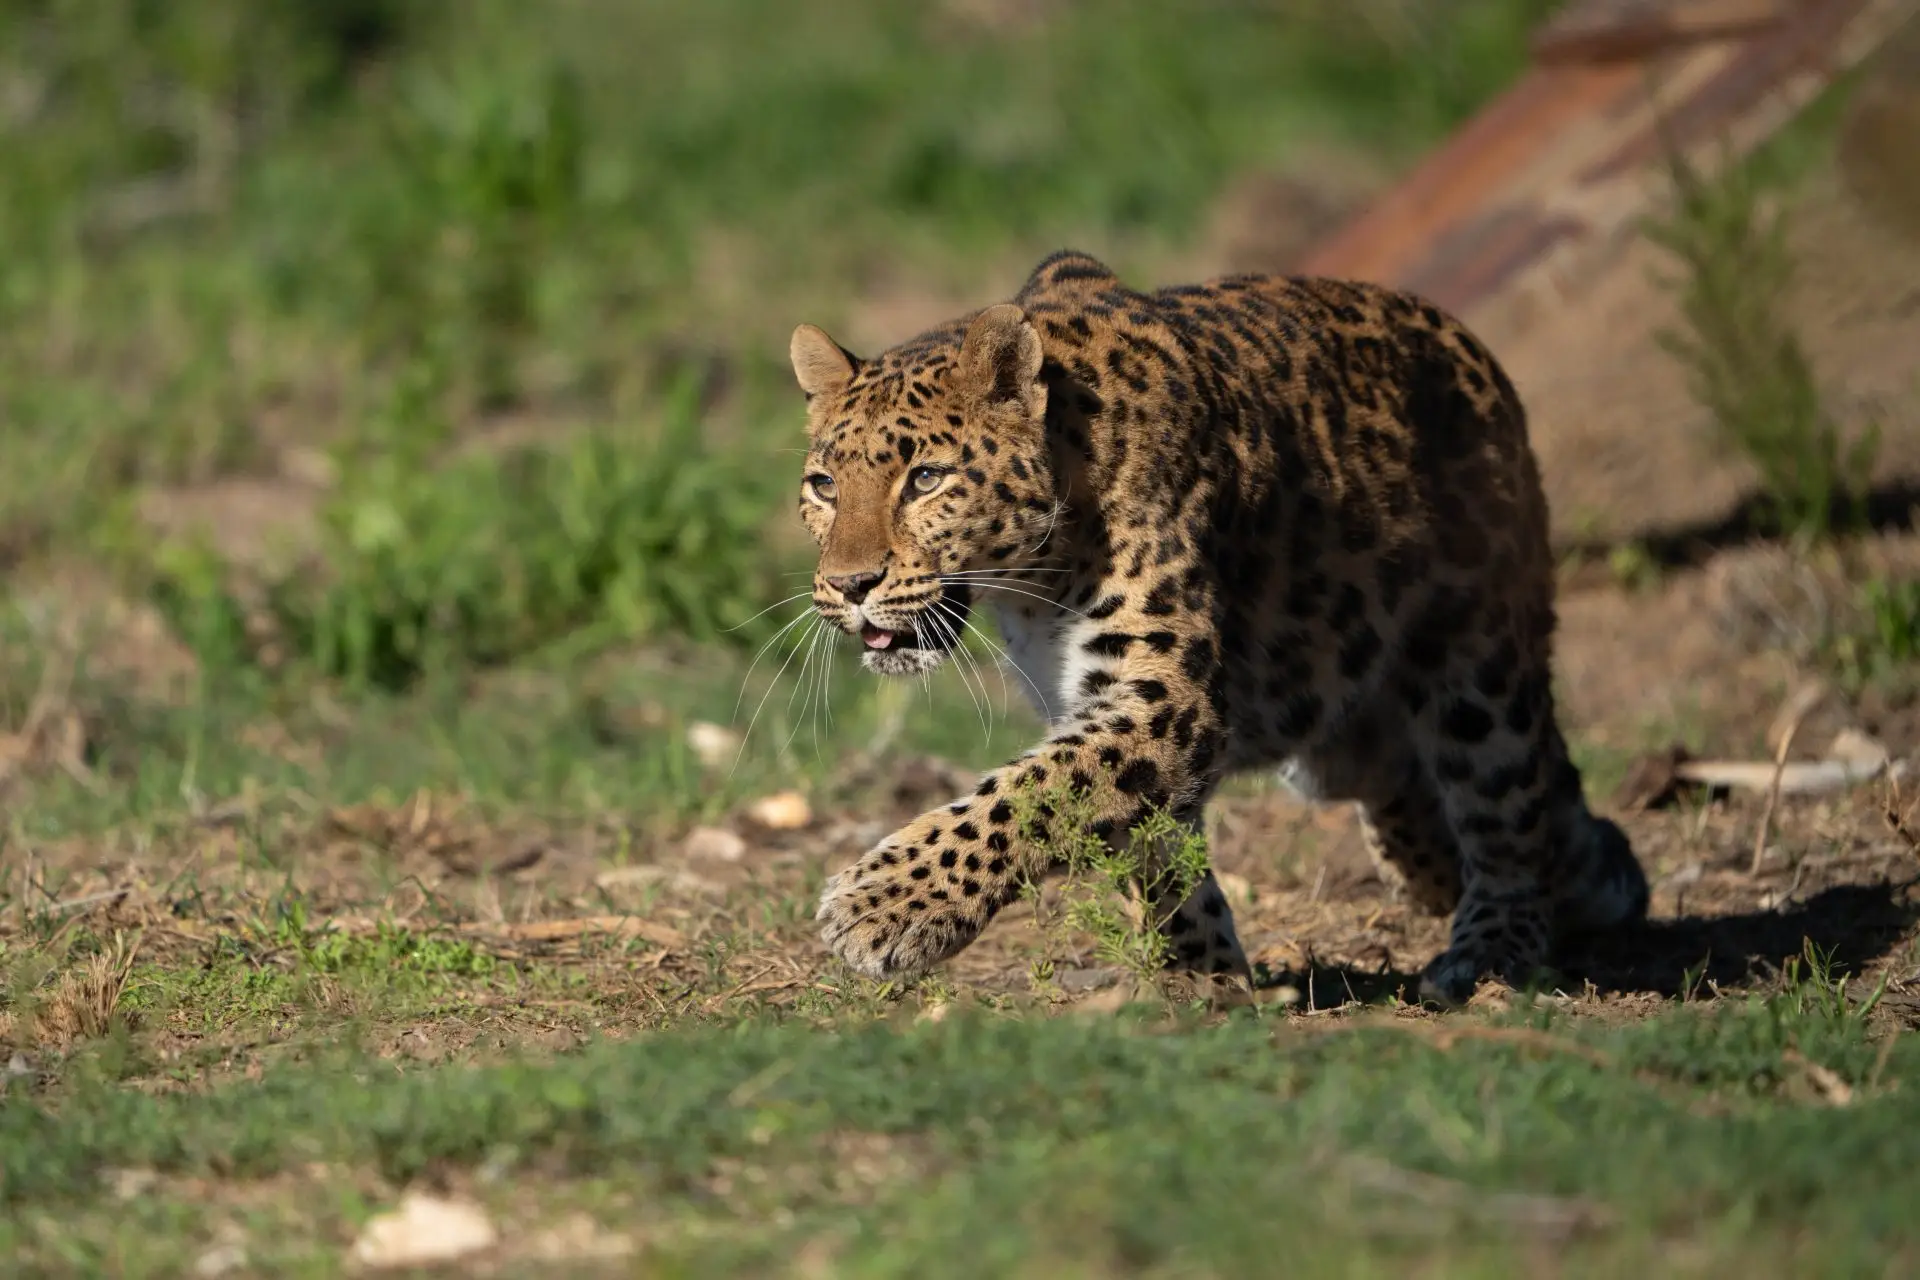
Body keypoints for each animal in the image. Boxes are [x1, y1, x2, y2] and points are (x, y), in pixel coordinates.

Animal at [787, 249, 1648, 1006]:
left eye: (926, 479)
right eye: (824, 487)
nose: (849, 585)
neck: (1034, 580)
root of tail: (1476, 353)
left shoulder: (1162, 701)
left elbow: (1029, 798)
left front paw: (880, 906)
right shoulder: (1103, 706)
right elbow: (1147, 847)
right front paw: (1197, 980)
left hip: (1482, 659)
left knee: (1509, 809)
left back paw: (1490, 949)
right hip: (1335, 733)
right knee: (1414, 786)